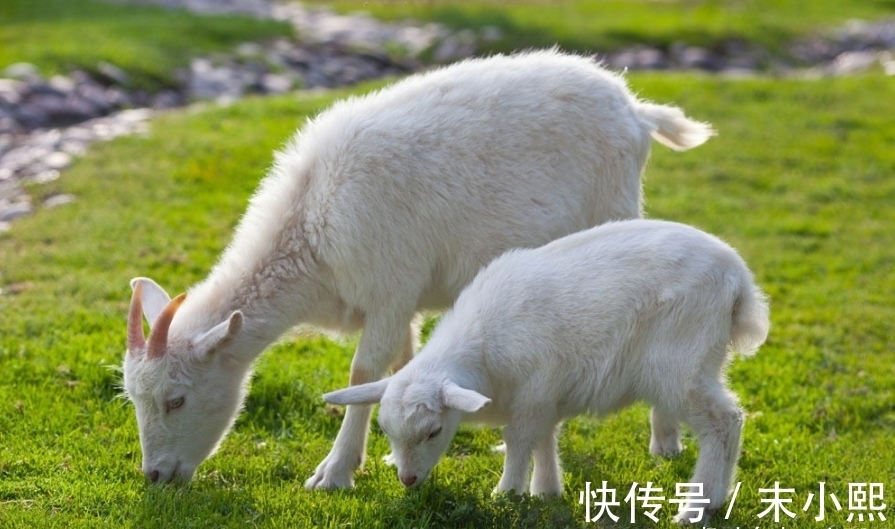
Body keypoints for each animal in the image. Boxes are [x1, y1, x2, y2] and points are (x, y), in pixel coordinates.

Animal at [121, 48, 712, 486]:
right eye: (133, 398)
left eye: (176, 399)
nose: (156, 476)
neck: (311, 224)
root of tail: (636, 111)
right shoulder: (401, 302)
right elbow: (401, 364)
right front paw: (389, 452)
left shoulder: (389, 289)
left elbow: (363, 371)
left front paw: (334, 472)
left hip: (616, 210)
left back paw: (665, 440)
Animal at [326, 219, 772, 524]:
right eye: (386, 431)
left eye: (434, 431)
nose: (407, 480)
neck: (482, 346)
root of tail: (739, 281)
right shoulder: (544, 395)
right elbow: (543, 439)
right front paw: (546, 492)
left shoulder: (535, 389)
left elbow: (521, 440)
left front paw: (506, 493)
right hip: (702, 360)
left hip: (682, 363)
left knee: (724, 421)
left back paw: (698, 507)